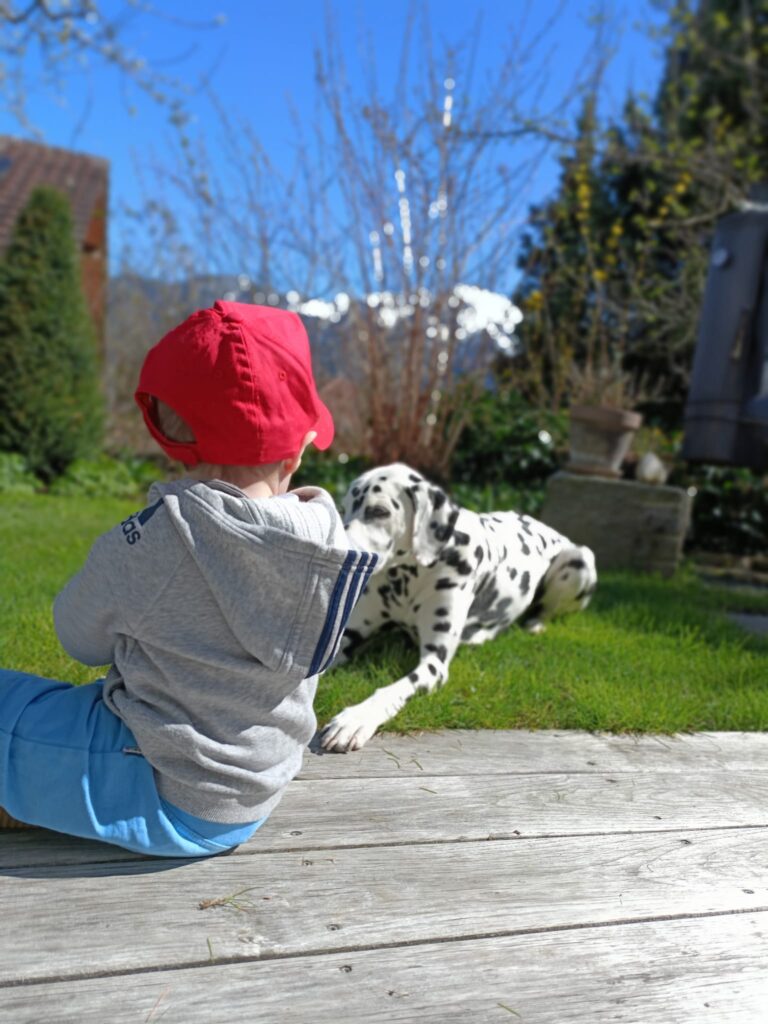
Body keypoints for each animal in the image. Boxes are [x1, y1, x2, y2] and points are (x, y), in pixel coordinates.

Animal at [321, 464, 598, 753]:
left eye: (379, 511)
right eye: (343, 509)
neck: (410, 577)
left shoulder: (435, 663)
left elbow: (390, 690)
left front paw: (355, 719)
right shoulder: (347, 638)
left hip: (579, 559)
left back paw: (534, 624)